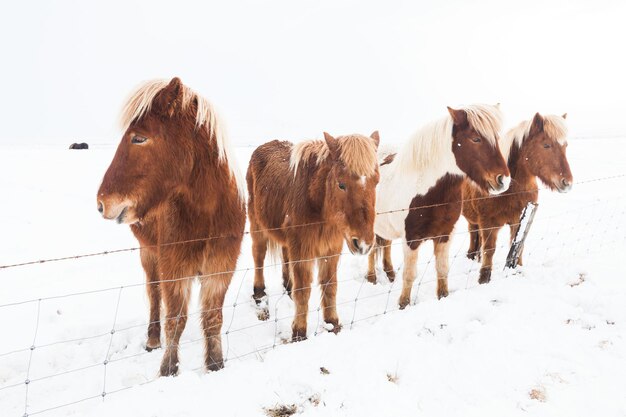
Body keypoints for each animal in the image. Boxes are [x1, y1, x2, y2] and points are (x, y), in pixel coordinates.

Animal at [96, 76, 245, 376]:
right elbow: (175, 319)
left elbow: (213, 318)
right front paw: (168, 371)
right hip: (149, 255)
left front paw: (215, 366)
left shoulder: (221, 267)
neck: (207, 214)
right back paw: (153, 339)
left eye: (139, 137)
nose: (102, 203)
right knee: (154, 294)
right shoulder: (175, 267)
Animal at [246, 133, 378, 342]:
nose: (364, 244)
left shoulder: (331, 250)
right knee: (258, 256)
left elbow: (330, 286)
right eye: (341, 184)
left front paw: (332, 324)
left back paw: (287, 287)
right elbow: (303, 291)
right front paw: (299, 334)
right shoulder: (303, 250)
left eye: (377, 182)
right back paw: (259, 295)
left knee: (285, 256)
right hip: (257, 225)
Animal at [368, 103, 510, 306]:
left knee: (385, 245)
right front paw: (403, 305)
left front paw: (442, 296)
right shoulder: (411, 239)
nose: (503, 180)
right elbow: (409, 275)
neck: (427, 193)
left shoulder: (445, 235)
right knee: (372, 251)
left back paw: (390, 274)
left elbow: (442, 270)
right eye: (476, 139)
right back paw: (371, 278)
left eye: (497, 138)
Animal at [458, 111, 572, 282]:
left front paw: (516, 270)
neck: (511, 190)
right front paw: (484, 279)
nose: (567, 182)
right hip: (473, 220)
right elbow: (489, 249)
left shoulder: (518, 220)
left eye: (565, 146)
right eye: (546, 145)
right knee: (473, 236)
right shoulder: (488, 224)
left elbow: (517, 245)